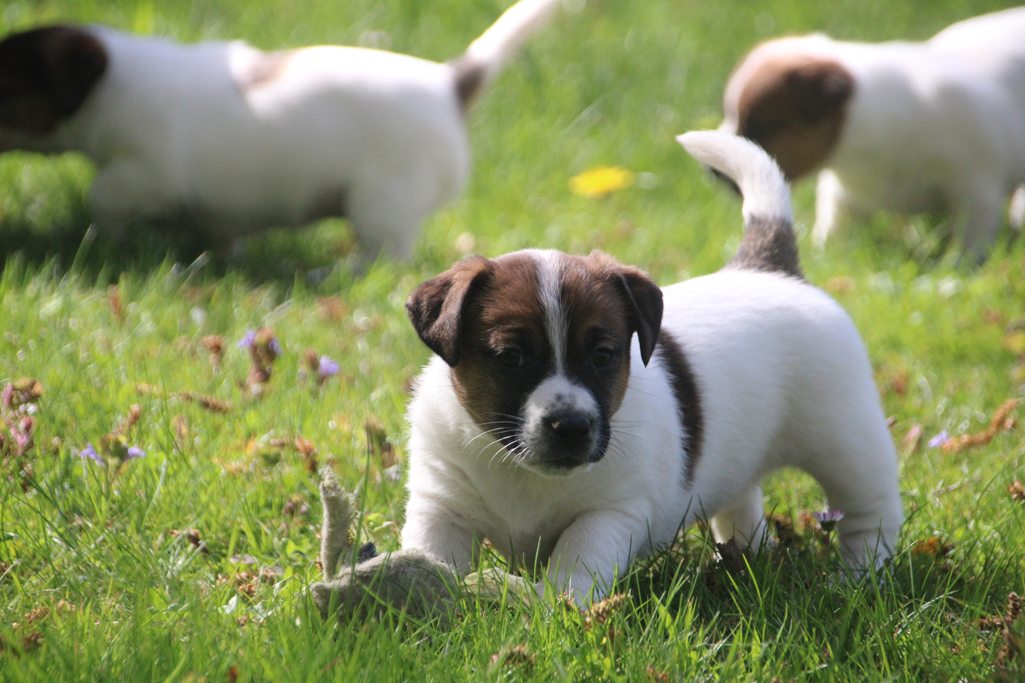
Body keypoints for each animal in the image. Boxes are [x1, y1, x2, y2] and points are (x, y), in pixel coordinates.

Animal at [0, 0, 558, 258]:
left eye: (9, 86)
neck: (114, 79)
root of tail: (449, 83)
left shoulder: (140, 173)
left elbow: (104, 202)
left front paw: (102, 242)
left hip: (382, 205)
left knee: (385, 256)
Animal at [400, 130, 903, 601]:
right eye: (511, 357)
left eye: (603, 356)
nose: (572, 427)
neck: (525, 475)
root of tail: (768, 269)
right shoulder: (440, 507)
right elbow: (430, 552)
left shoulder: (611, 512)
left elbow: (577, 558)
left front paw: (554, 606)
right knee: (740, 500)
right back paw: (745, 557)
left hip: (846, 440)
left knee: (870, 512)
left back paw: (857, 578)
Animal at [719, 7, 1025, 260]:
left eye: (760, 126)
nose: (712, 172)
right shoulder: (843, 197)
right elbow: (831, 233)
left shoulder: (976, 190)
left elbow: (971, 241)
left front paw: (961, 265)